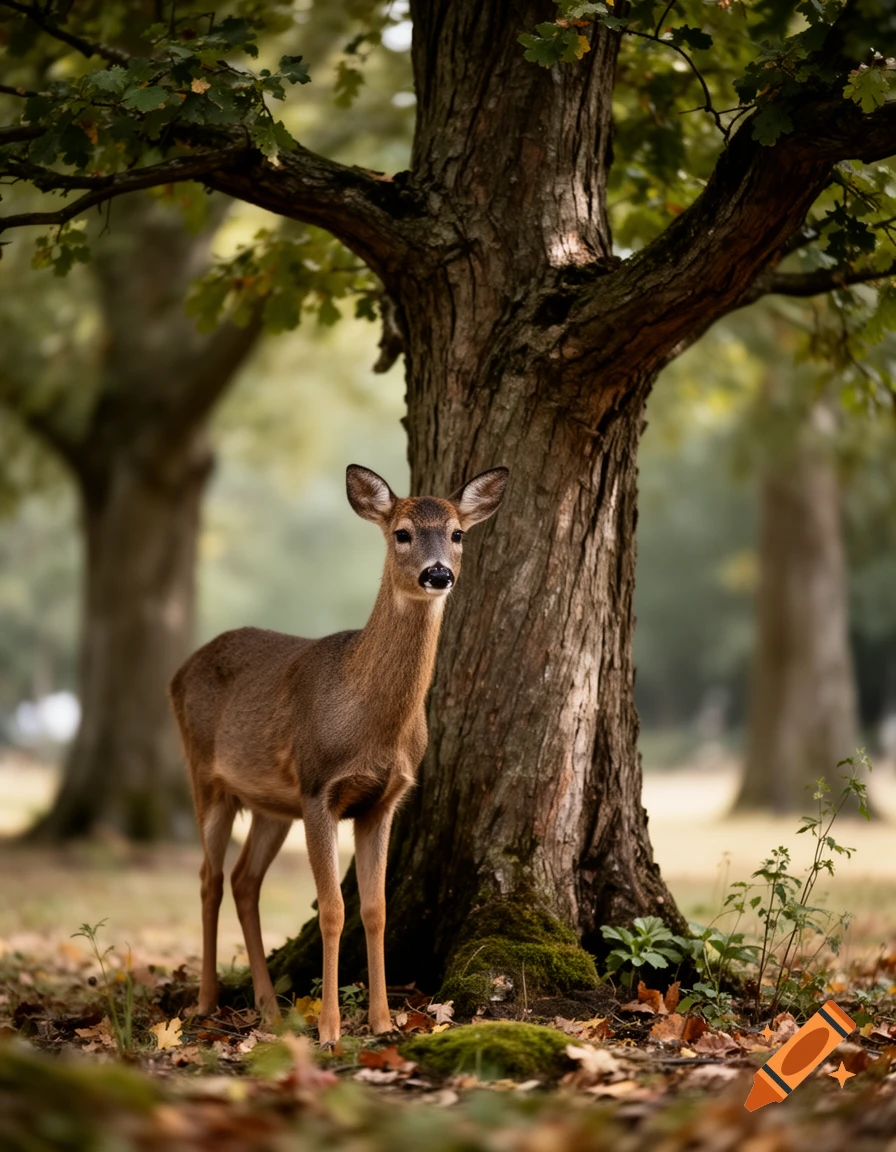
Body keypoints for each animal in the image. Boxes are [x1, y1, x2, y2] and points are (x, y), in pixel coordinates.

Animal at [169, 463, 509, 1045]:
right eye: (402, 533)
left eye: (458, 533)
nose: (438, 573)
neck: (369, 722)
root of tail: (177, 673)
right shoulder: (318, 787)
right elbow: (332, 909)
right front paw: (329, 1029)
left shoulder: (383, 801)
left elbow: (375, 909)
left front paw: (383, 1022)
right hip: (206, 777)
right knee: (209, 879)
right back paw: (207, 1003)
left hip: (271, 804)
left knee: (243, 880)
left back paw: (269, 1008)